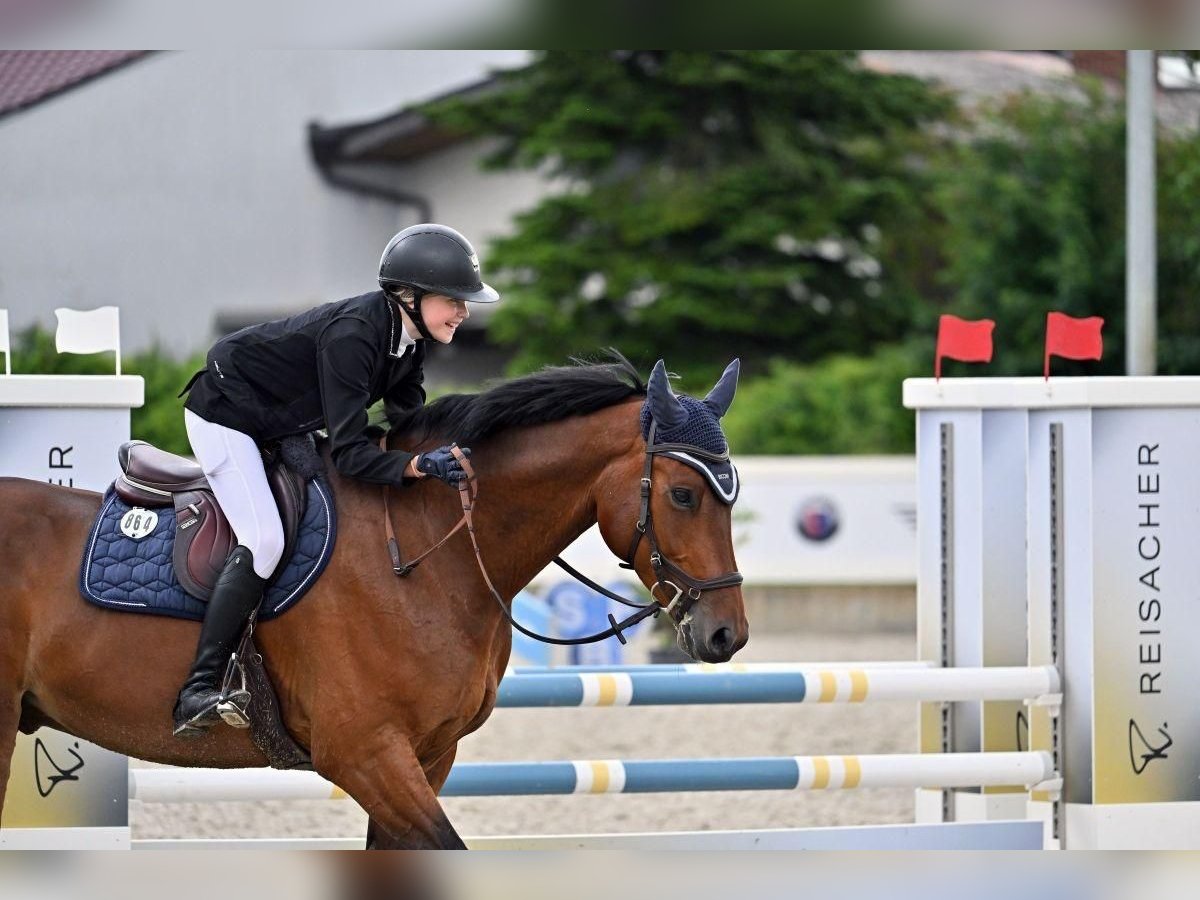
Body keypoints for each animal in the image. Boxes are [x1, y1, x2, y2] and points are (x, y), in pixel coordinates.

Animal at [0, 355, 748, 854]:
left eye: (732, 493)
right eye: (683, 495)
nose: (726, 636)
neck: (430, 552)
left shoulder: (427, 754)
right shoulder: (364, 753)